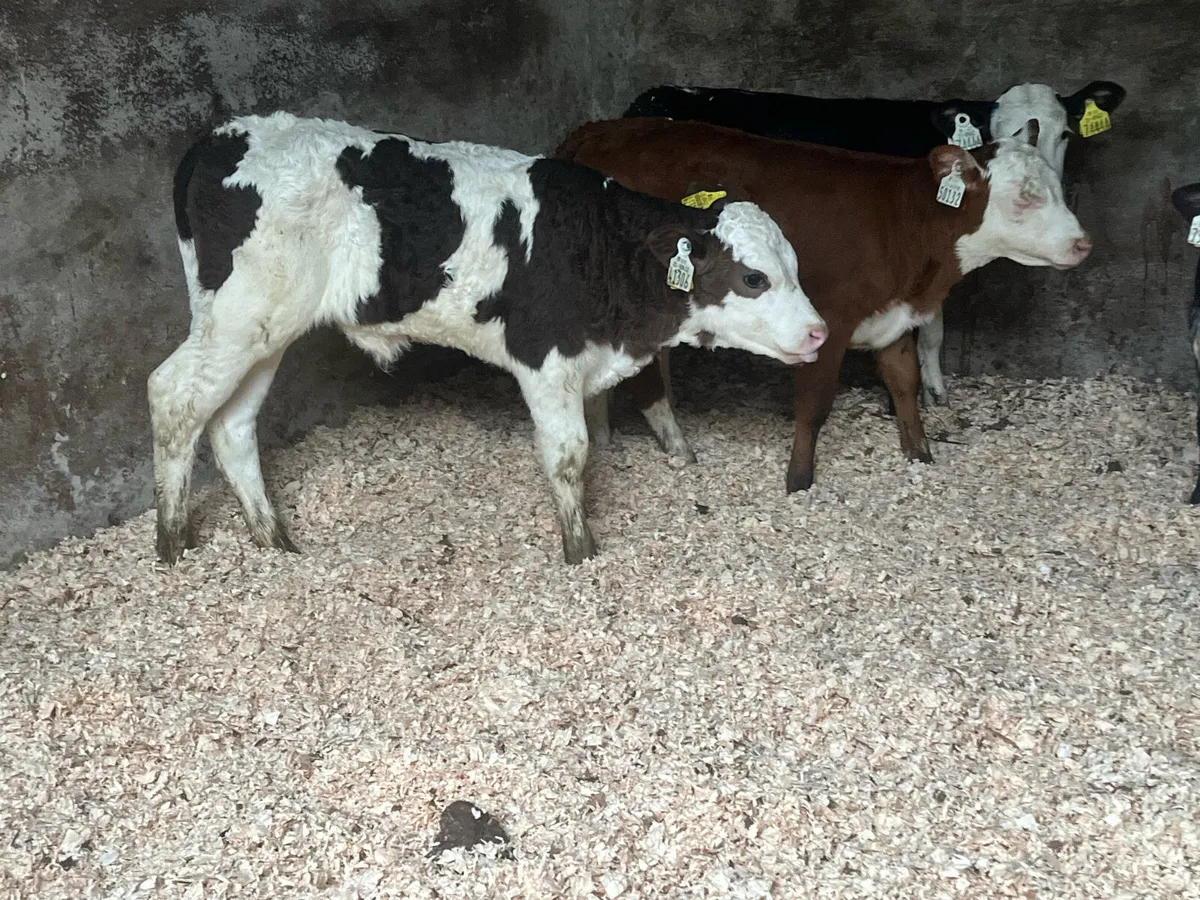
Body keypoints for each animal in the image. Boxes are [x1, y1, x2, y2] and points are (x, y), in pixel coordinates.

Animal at [148, 112, 827, 566]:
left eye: (797, 266)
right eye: (755, 277)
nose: (819, 331)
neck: (598, 245)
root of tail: (220, 136)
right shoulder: (544, 358)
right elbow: (569, 455)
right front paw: (581, 553)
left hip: (262, 332)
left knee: (231, 424)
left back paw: (274, 541)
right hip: (240, 318)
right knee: (173, 395)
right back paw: (173, 542)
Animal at [556, 117, 1090, 493]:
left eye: (1058, 188)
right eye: (1024, 198)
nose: (1084, 244)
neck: (900, 222)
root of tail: (604, 128)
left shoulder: (893, 318)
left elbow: (905, 384)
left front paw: (919, 455)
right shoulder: (828, 323)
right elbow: (814, 406)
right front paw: (799, 482)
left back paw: (605, 435)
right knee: (649, 382)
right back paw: (679, 448)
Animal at [624, 80, 1125, 407]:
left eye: (1065, 133)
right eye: (991, 130)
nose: (1077, 240)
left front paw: (933, 390)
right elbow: (931, 327)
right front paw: (933, 393)